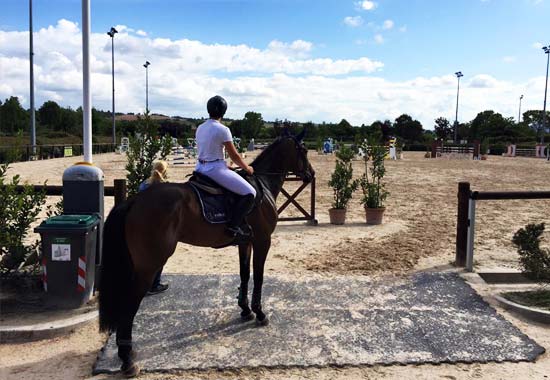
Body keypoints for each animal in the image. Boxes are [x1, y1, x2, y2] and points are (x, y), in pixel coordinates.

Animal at [98, 131, 314, 378]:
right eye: (304, 151)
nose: (311, 175)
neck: (263, 184)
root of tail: (134, 201)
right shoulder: (262, 241)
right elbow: (258, 277)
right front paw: (259, 313)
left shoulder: (245, 243)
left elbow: (244, 274)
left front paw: (245, 310)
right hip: (148, 267)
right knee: (129, 304)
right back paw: (127, 359)